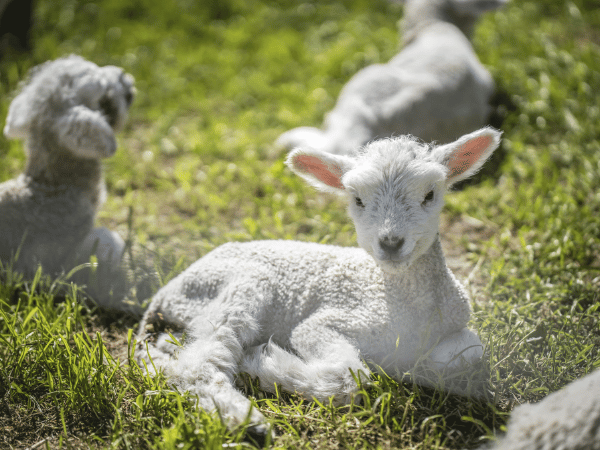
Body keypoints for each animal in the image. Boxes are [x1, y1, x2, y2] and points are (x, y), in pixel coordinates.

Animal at [135, 125, 502, 438]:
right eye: (357, 200)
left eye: (430, 194)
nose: (390, 243)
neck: (401, 303)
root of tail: (164, 294)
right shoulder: (325, 323)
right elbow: (348, 378)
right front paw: (264, 364)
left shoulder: (458, 325)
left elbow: (468, 352)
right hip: (235, 287)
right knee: (200, 364)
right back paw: (246, 420)